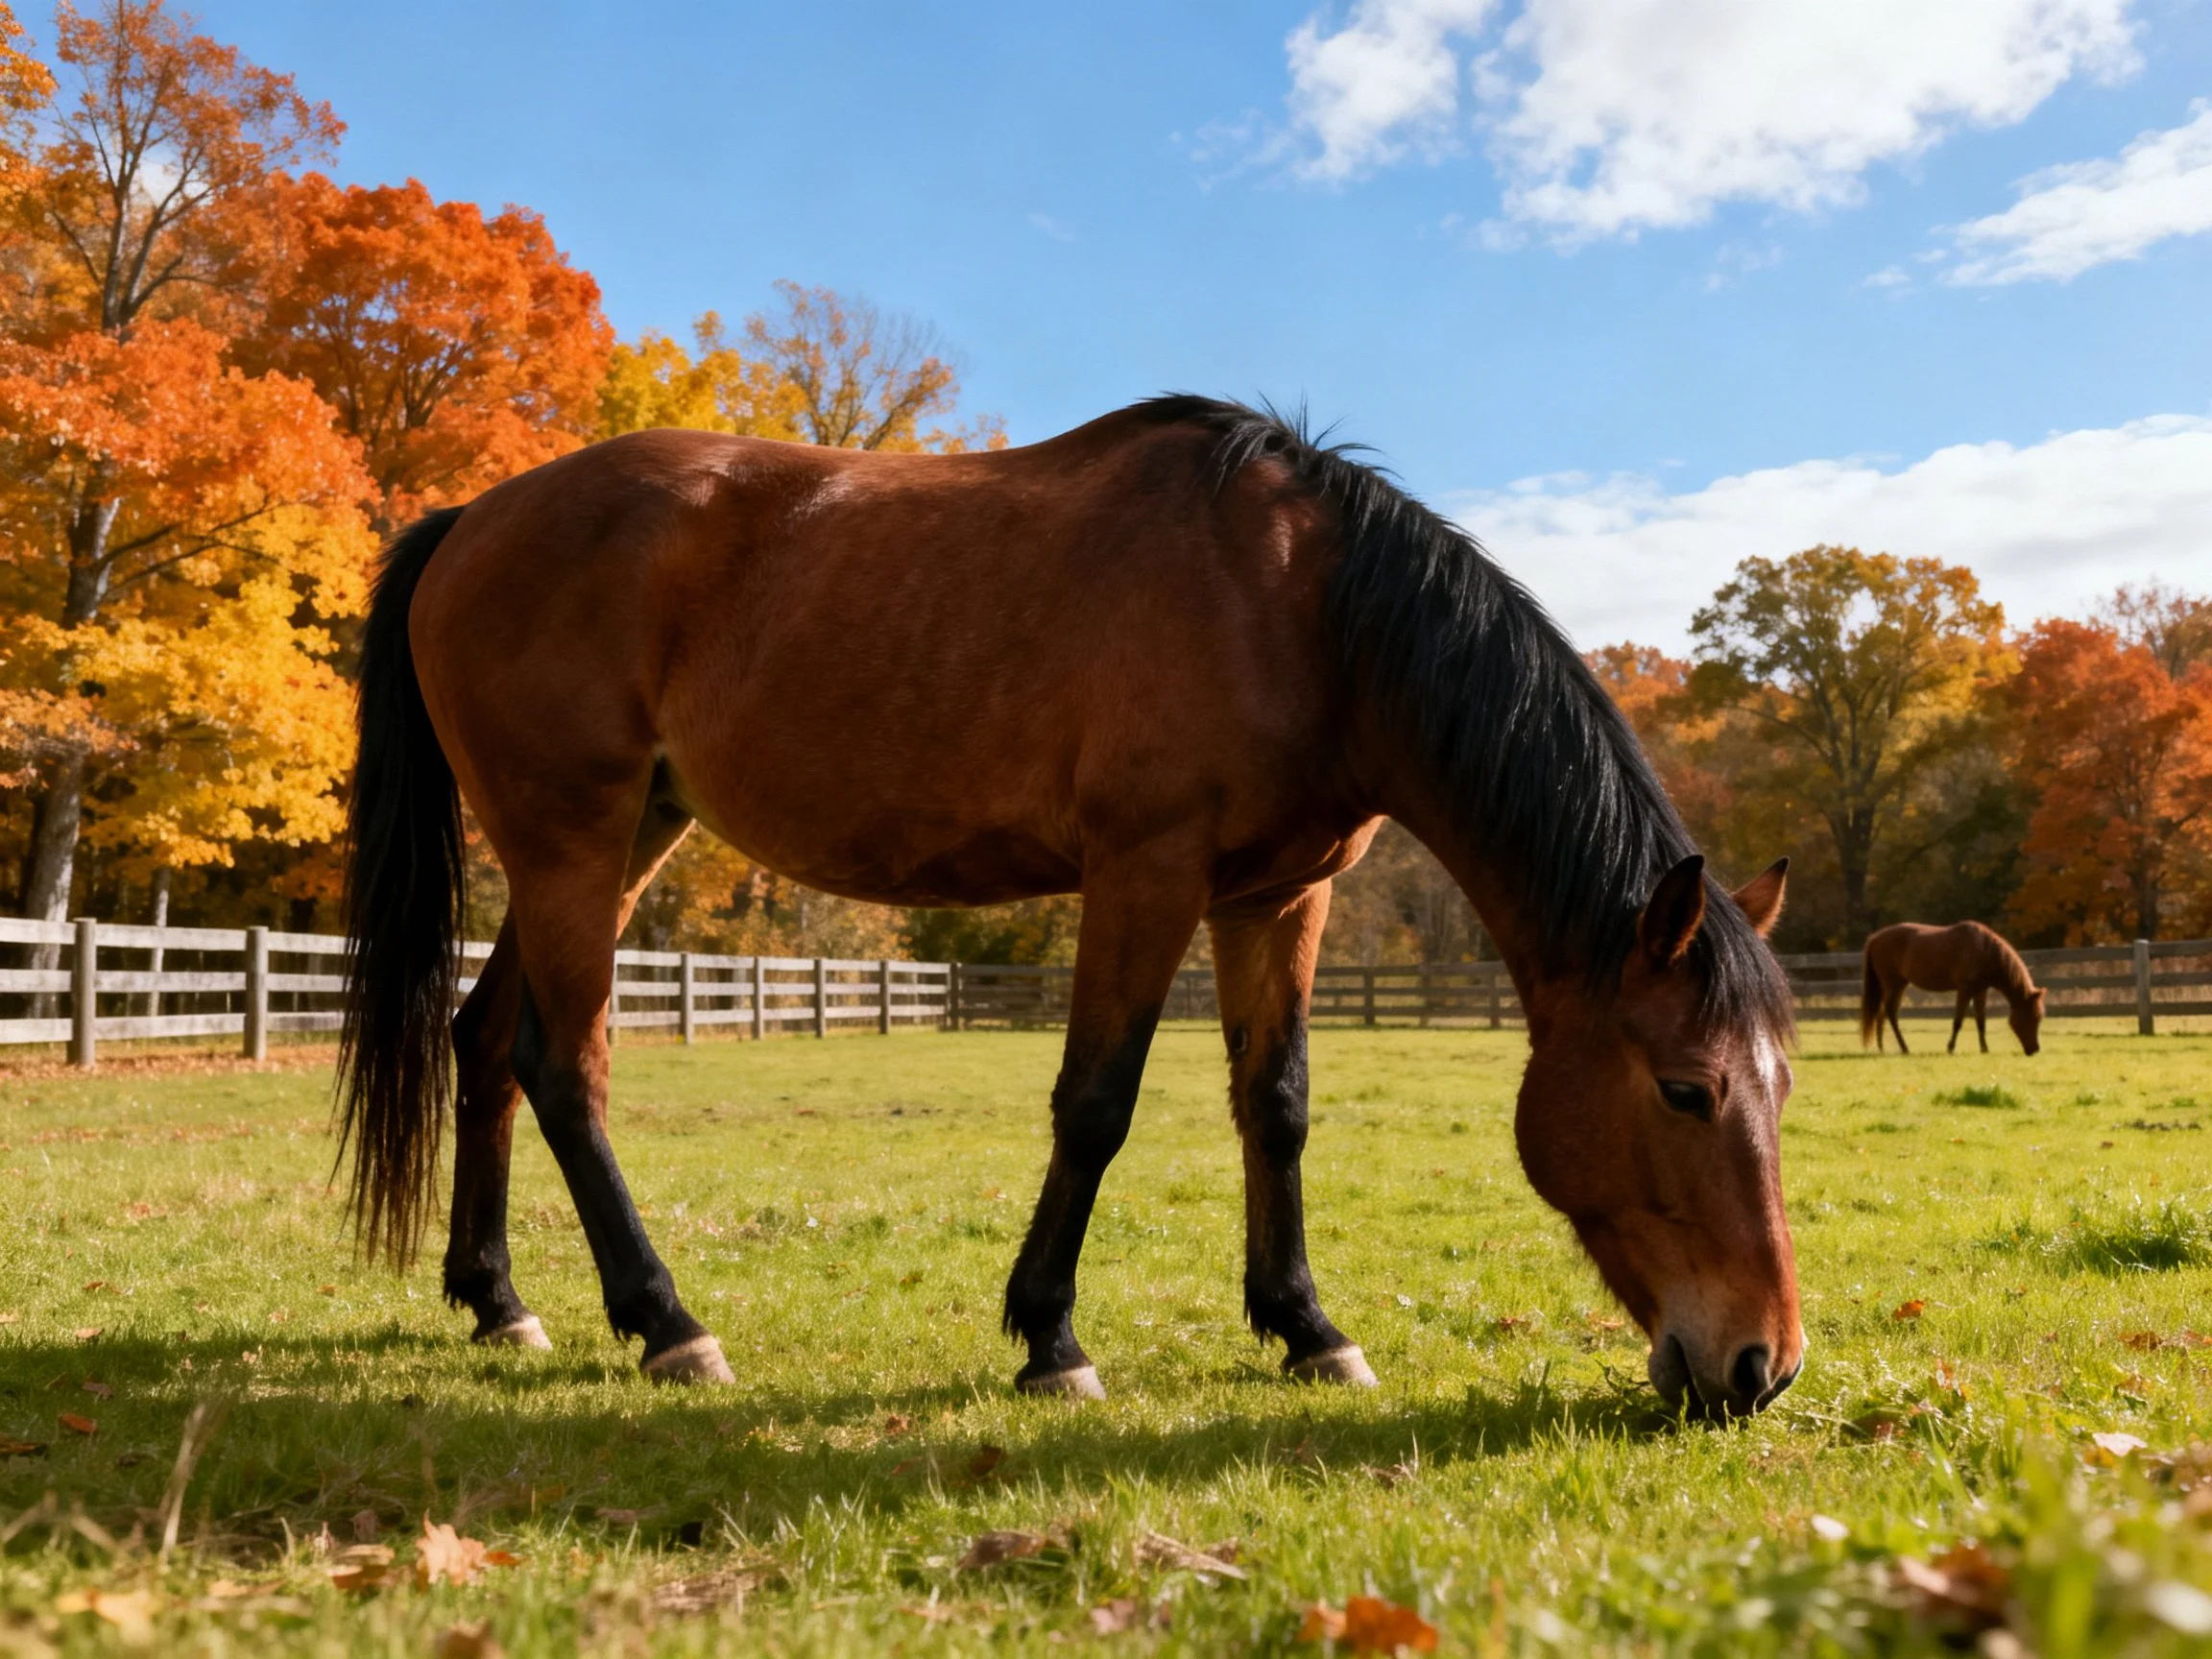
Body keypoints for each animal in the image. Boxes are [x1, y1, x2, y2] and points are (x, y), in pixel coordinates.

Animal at [337, 395, 1804, 1418]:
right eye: (1686, 1091)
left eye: (1781, 1088)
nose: (1763, 1363)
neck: (1302, 607)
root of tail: (472, 520)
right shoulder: (1144, 873)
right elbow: (1097, 1105)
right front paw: (1051, 1339)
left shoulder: (1282, 897)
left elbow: (1277, 1109)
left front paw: (1308, 1329)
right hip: (573, 846)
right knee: (562, 1066)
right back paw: (667, 1322)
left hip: (614, 840)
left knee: (485, 1045)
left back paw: (497, 1301)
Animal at [1859, 921, 2045, 1056]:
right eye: (2030, 1017)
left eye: (2039, 1018)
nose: (2035, 1049)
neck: (1984, 950)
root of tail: (1875, 938)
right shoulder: (1965, 990)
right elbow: (1958, 1021)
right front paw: (1950, 1048)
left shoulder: (1980, 991)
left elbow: (1981, 1021)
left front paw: (1984, 1049)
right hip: (1893, 985)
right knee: (1890, 1013)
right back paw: (1904, 1048)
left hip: (1898, 985)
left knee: (1883, 1014)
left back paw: (1882, 1047)